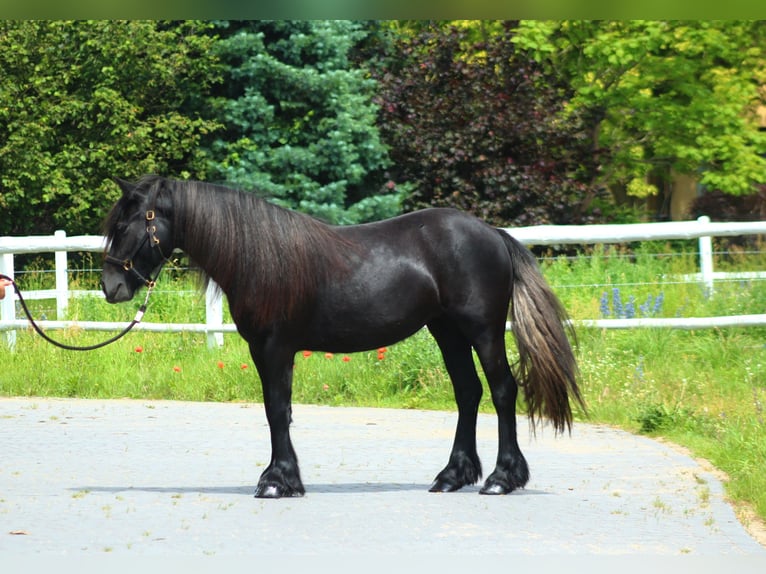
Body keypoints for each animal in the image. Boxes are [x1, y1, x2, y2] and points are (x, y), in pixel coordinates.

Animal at [100, 177, 584, 500]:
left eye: (127, 226)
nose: (111, 287)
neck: (258, 257)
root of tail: (493, 235)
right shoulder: (263, 350)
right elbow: (278, 410)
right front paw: (286, 479)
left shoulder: (275, 347)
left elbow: (277, 410)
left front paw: (276, 482)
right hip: (447, 332)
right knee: (468, 393)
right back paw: (451, 476)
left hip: (482, 331)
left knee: (502, 391)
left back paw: (502, 479)